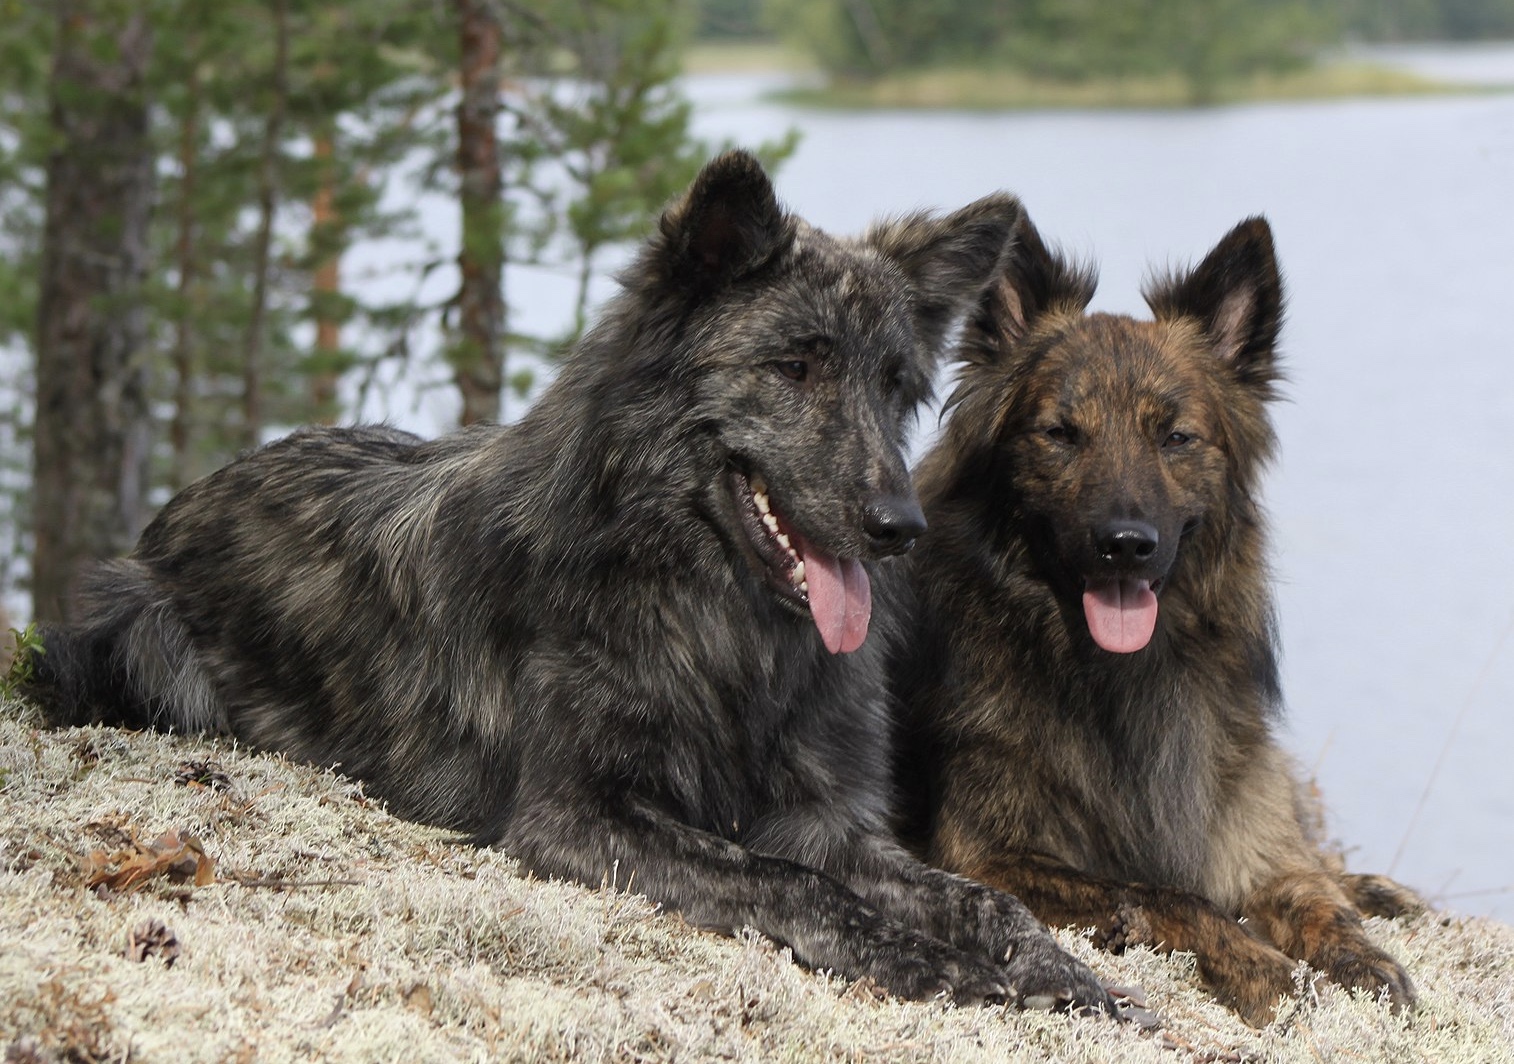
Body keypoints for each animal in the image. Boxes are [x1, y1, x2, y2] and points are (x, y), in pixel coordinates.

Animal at [884, 214, 1417, 1023]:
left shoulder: (1242, 818)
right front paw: (1265, 970)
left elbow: (1308, 891)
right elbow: (1162, 892)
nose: (1125, 544)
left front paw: (1365, 957)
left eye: (1176, 436)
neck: (1118, 676)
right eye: (1061, 433)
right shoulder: (984, 855)